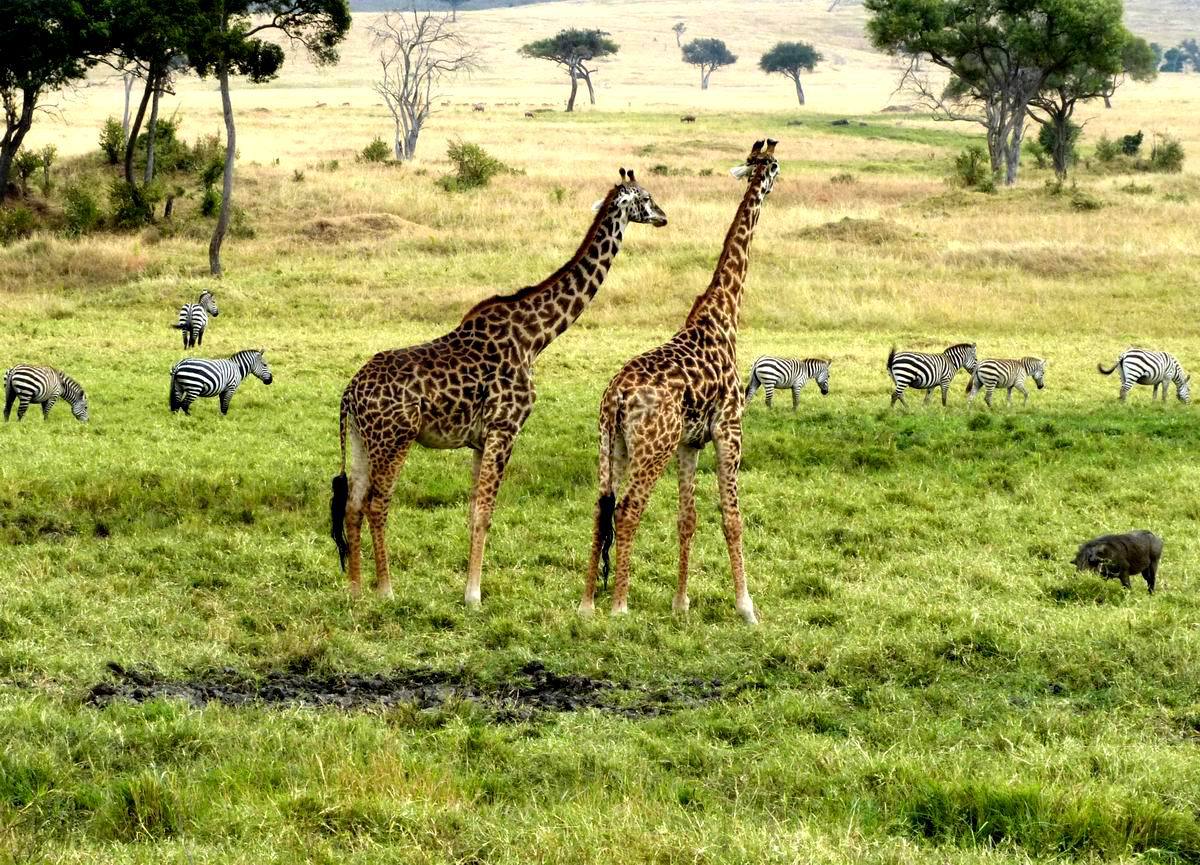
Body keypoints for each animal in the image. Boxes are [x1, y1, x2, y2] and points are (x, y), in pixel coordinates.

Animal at [331, 166, 667, 599]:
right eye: (646, 197)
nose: (663, 217)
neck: (535, 338)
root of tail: (349, 395)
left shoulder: (479, 438)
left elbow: (473, 510)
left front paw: (466, 589)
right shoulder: (506, 428)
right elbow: (486, 513)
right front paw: (474, 595)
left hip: (360, 439)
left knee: (353, 505)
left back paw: (356, 589)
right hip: (394, 439)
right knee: (377, 503)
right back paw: (385, 589)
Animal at [576, 136, 782, 619]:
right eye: (773, 166)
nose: (777, 178)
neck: (724, 316)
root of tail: (616, 398)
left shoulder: (691, 442)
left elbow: (686, 519)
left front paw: (680, 604)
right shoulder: (729, 430)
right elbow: (731, 516)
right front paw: (747, 607)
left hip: (612, 445)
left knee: (600, 509)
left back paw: (588, 604)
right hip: (654, 448)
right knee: (628, 509)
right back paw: (619, 606)